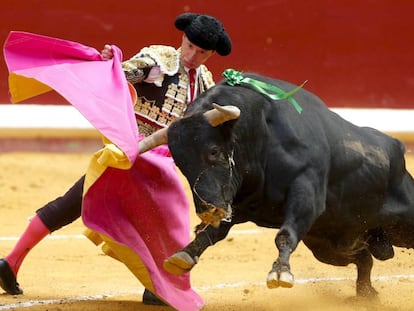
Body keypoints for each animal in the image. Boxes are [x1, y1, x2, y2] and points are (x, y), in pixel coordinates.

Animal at [139, 73, 414, 298]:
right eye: (180, 164)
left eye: (214, 151)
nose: (207, 210)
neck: (261, 135)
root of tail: (397, 147)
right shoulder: (236, 203)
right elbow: (212, 233)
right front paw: (185, 254)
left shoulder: (306, 191)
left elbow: (284, 234)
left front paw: (280, 273)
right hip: (329, 245)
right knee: (364, 258)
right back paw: (366, 293)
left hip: (400, 224)